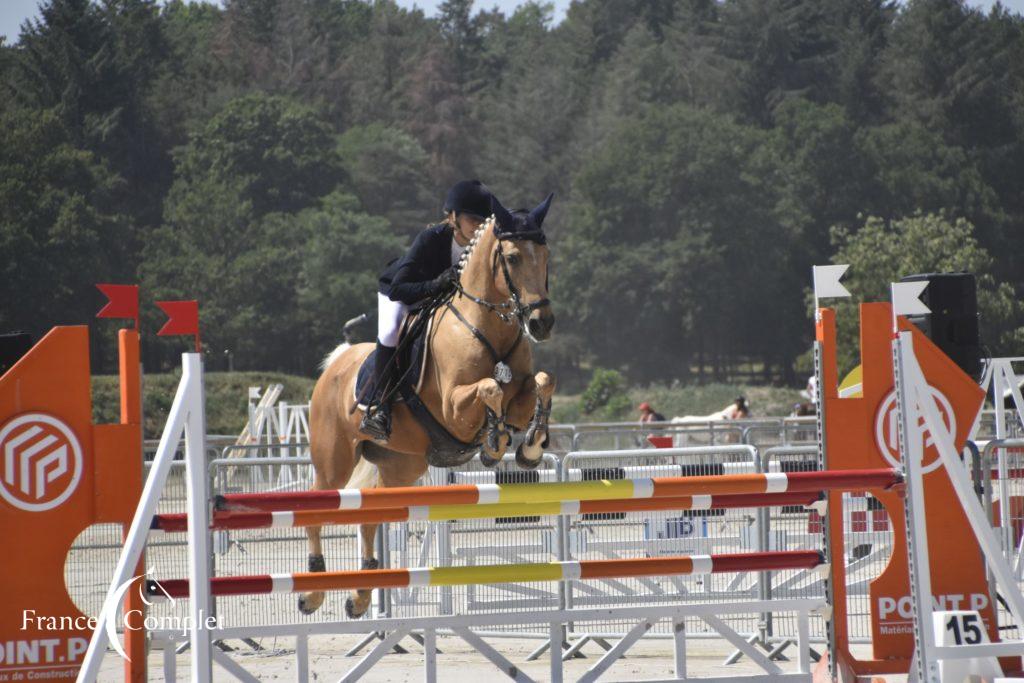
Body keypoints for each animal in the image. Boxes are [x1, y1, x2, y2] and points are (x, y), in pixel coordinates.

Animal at [301, 193, 557, 618]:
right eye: (513, 257)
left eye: (546, 255)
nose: (541, 323)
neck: (486, 324)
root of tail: (336, 362)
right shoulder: (453, 407)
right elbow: (490, 389)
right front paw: (493, 443)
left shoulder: (521, 391)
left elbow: (540, 382)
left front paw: (532, 446)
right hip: (333, 462)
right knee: (317, 507)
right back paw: (312, 592)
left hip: (402, 465)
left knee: (372, 517)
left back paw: (360, 596)